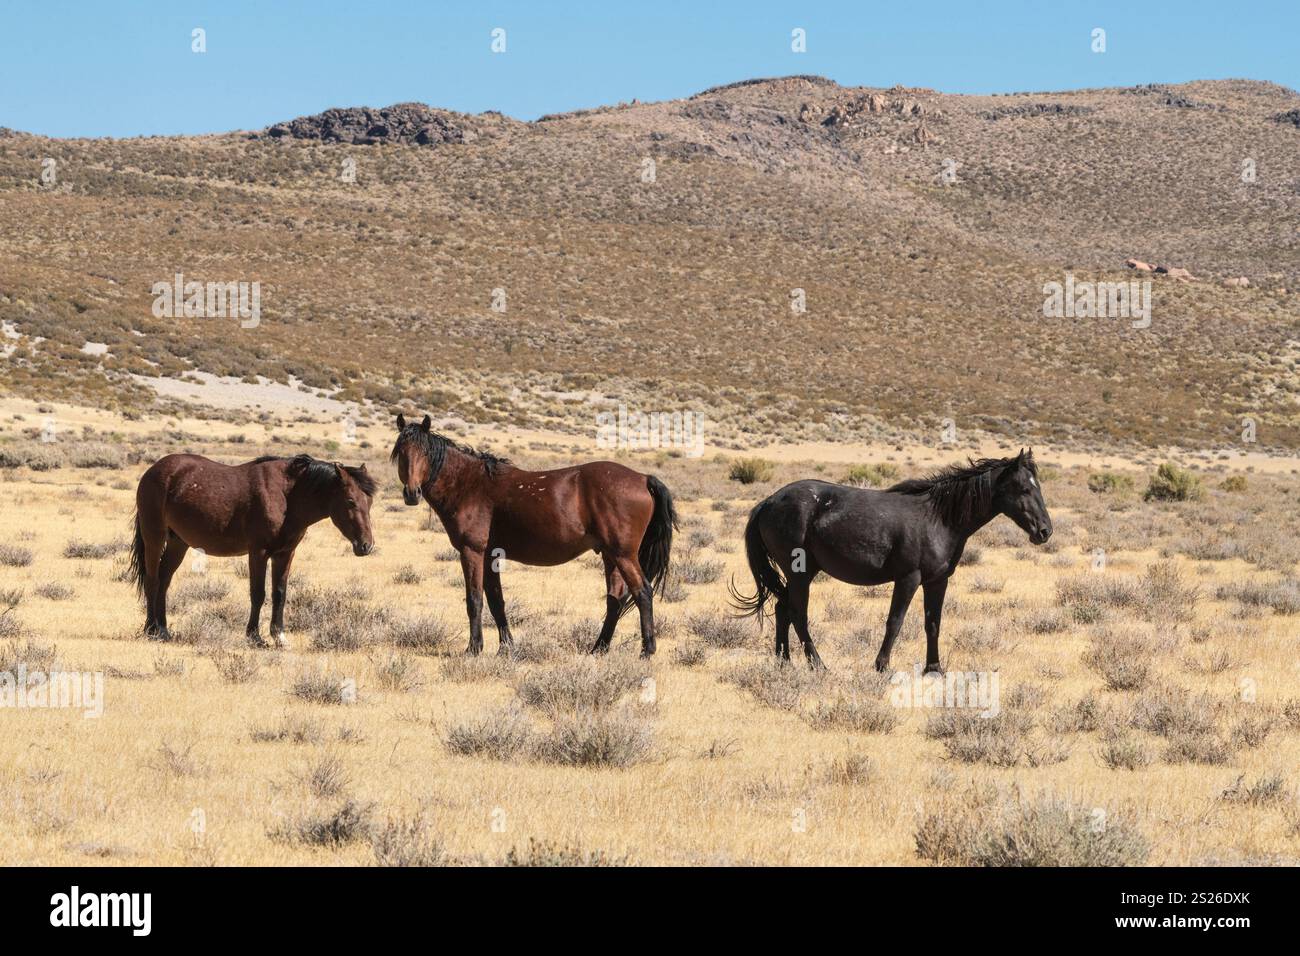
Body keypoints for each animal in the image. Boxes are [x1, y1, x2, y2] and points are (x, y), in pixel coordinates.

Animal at [128, 453, 377, 645]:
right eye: (350, 501)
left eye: (370, 502)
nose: (366, 545)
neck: (286, 496)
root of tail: (154, 470)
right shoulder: (258, 552)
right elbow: (258, 594)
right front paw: (254, 636)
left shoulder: (284, 554)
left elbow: (279, 593)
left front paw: (279, 636)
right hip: (154, 537)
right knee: (152, 580)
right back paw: (151, 629)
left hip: (178, 542)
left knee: (164, 580)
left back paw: (163, 629)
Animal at [390, 414, 677, 658]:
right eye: (401, 453)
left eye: (424, 452)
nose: (412, 494)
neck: (469, 484)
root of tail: (643, 478)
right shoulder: (490, 556)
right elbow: (496, 601)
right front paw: (506, 647)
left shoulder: (472, 551)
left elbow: (474, 600)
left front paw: (473, 649)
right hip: (610, 555)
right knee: (615, 600)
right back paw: (598, 649)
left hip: (623, 555)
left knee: (642, 593)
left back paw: (646, 651)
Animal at [730, 450, 1052, 672]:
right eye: (1024, 489)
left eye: (1038, 487)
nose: (1045, 531)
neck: (937, 518)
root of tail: (769, 501)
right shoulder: (908, 579)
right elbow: (895, 622)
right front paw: (882, 666)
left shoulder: (938, 581)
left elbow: (933, 623)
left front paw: (934, 669)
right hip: (800, 574)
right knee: (797, 614)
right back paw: (818, 665)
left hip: (798, 575)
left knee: (782, 609)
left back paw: (784, 662)